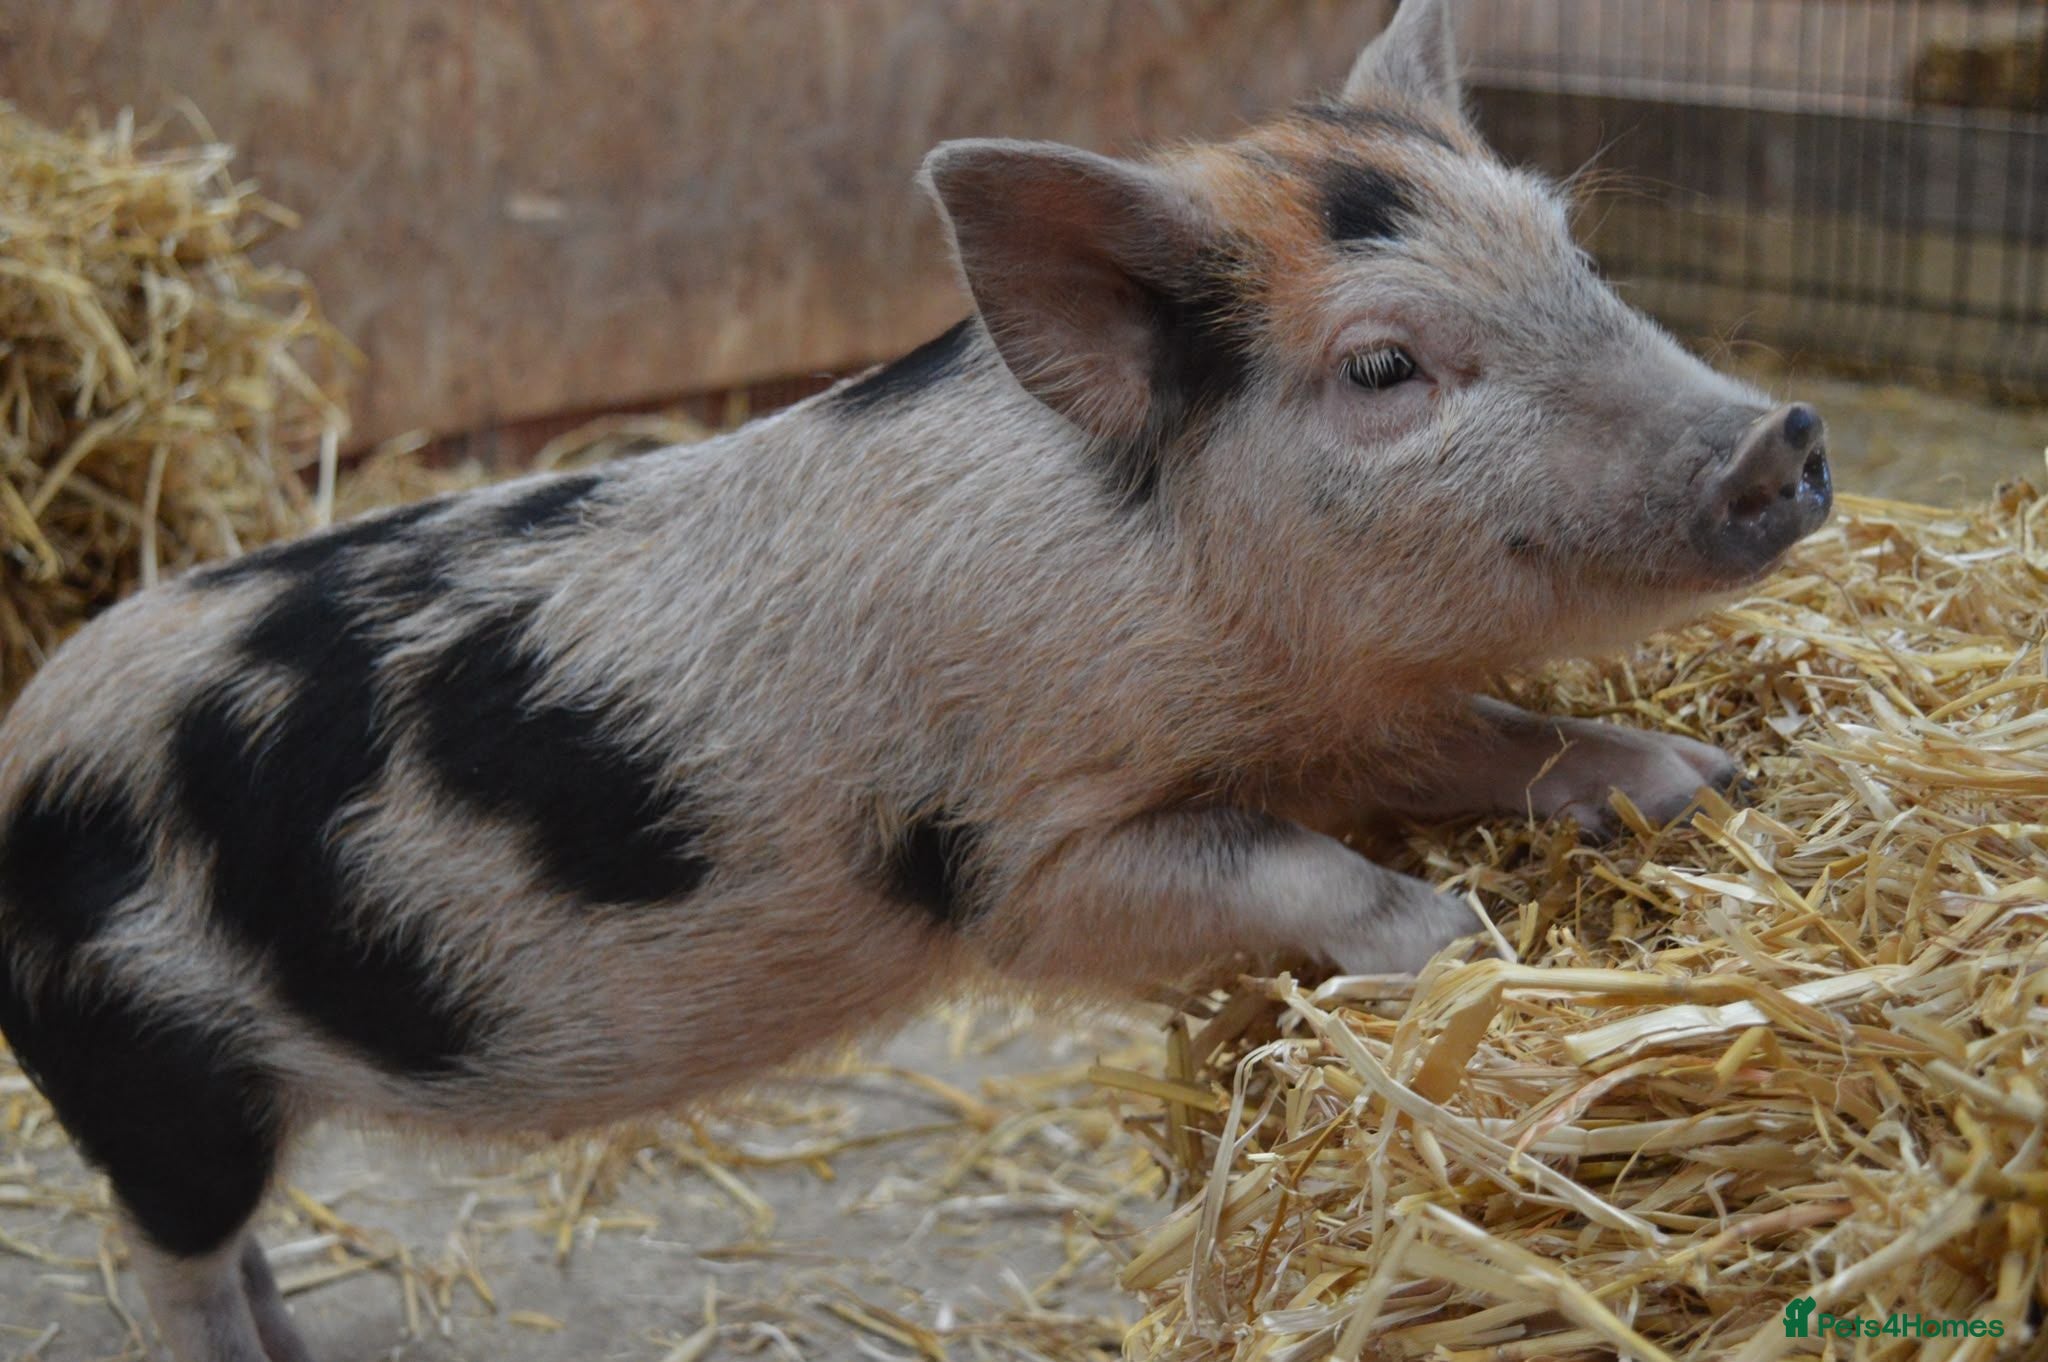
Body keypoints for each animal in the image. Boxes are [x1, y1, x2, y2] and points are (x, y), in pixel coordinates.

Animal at [0, 3, 1831, 1359]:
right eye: (1382, 367)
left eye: (1571, 254)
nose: (1782, 434)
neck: (1217, 635)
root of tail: (19, 755)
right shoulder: (1020, 865)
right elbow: (1288, 867)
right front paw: (1457, 944)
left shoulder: (1342, 717)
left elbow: (1493, 733)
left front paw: (1695, 784)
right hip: (153, 1070)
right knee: (170, 1252)